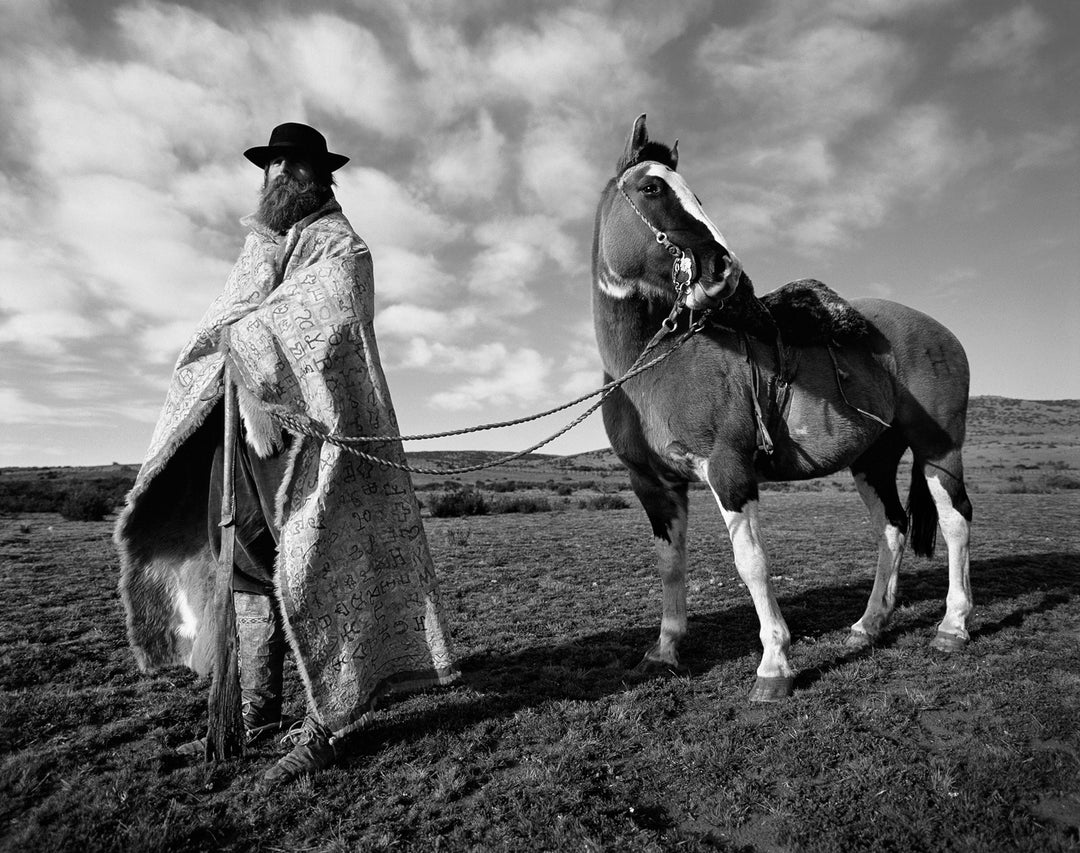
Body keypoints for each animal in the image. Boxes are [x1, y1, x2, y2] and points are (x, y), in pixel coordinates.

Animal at [596, 113, 976, 699]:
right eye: (653, 188)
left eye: (696, 194)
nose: (723, 269)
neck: (652, 361)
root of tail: (942, 332)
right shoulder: (654, 484)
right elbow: (670, 564)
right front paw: (664, 650)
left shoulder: (728, 469)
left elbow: (751, 562)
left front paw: (775, 663)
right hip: (873, 460)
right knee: (891, 528)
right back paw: (869, 625)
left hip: (940, 450)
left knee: (956, 520)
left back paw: (953, 626)